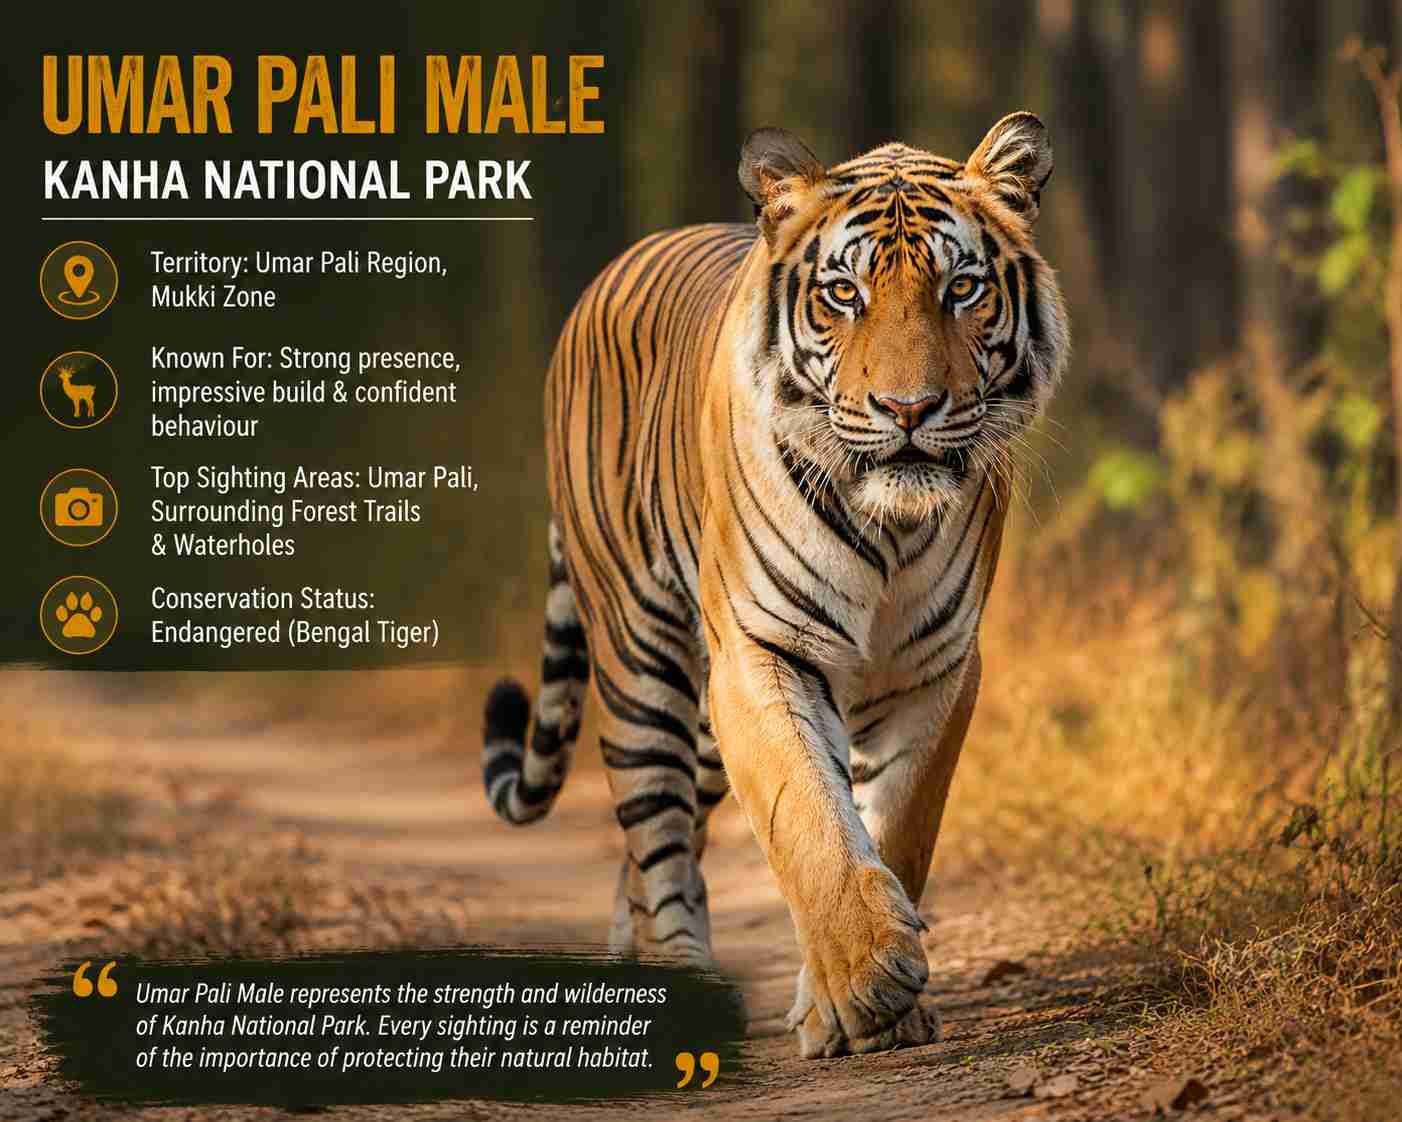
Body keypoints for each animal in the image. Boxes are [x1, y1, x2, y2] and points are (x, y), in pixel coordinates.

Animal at [481, 112, 1069, 1059]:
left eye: (962, 289)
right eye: (844, 294)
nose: (909, 410)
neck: (890, 525)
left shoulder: (940, 668)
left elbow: (898, 824)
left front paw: (862, 1007)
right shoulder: (759, 650)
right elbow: (809, 819)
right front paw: (867, 977)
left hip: (703, 727)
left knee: (656, 845)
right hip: (645, 664)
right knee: (655, 835)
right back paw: (677, 977)